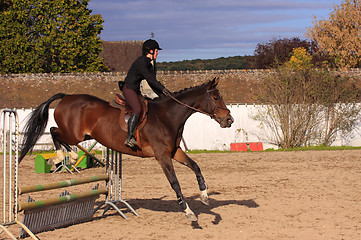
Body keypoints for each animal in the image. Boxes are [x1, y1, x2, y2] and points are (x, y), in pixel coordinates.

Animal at [19, 77, 233, 221]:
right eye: (216, 97)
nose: (229, 120)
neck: (168, 116)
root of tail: (67, 97)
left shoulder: (174, 152)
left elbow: (196, 166)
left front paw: (204, 196)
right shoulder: (162, 156)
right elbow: (175, 183)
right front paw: (188, 212)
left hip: (86, 135)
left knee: (57, 133)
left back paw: (67, 157)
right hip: (74, 134)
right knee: (54, 132)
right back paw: (64, 156)